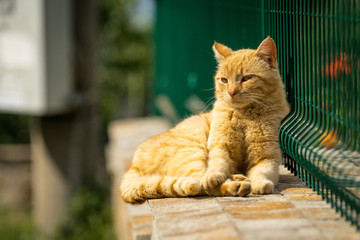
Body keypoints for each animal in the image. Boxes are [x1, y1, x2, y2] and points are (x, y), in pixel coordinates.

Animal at [121, 37, 290, 204]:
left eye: (247, 78)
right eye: (224, 80)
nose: (231, 92)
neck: (245, 116)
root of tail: (132, 165)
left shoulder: (268, 156)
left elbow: (263, 172)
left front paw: (261, 184)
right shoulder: (220, 147)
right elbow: (216, 165)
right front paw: (214, 176)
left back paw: (238, 181)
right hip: (193, 150)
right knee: (200, 183)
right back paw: (235, 185)